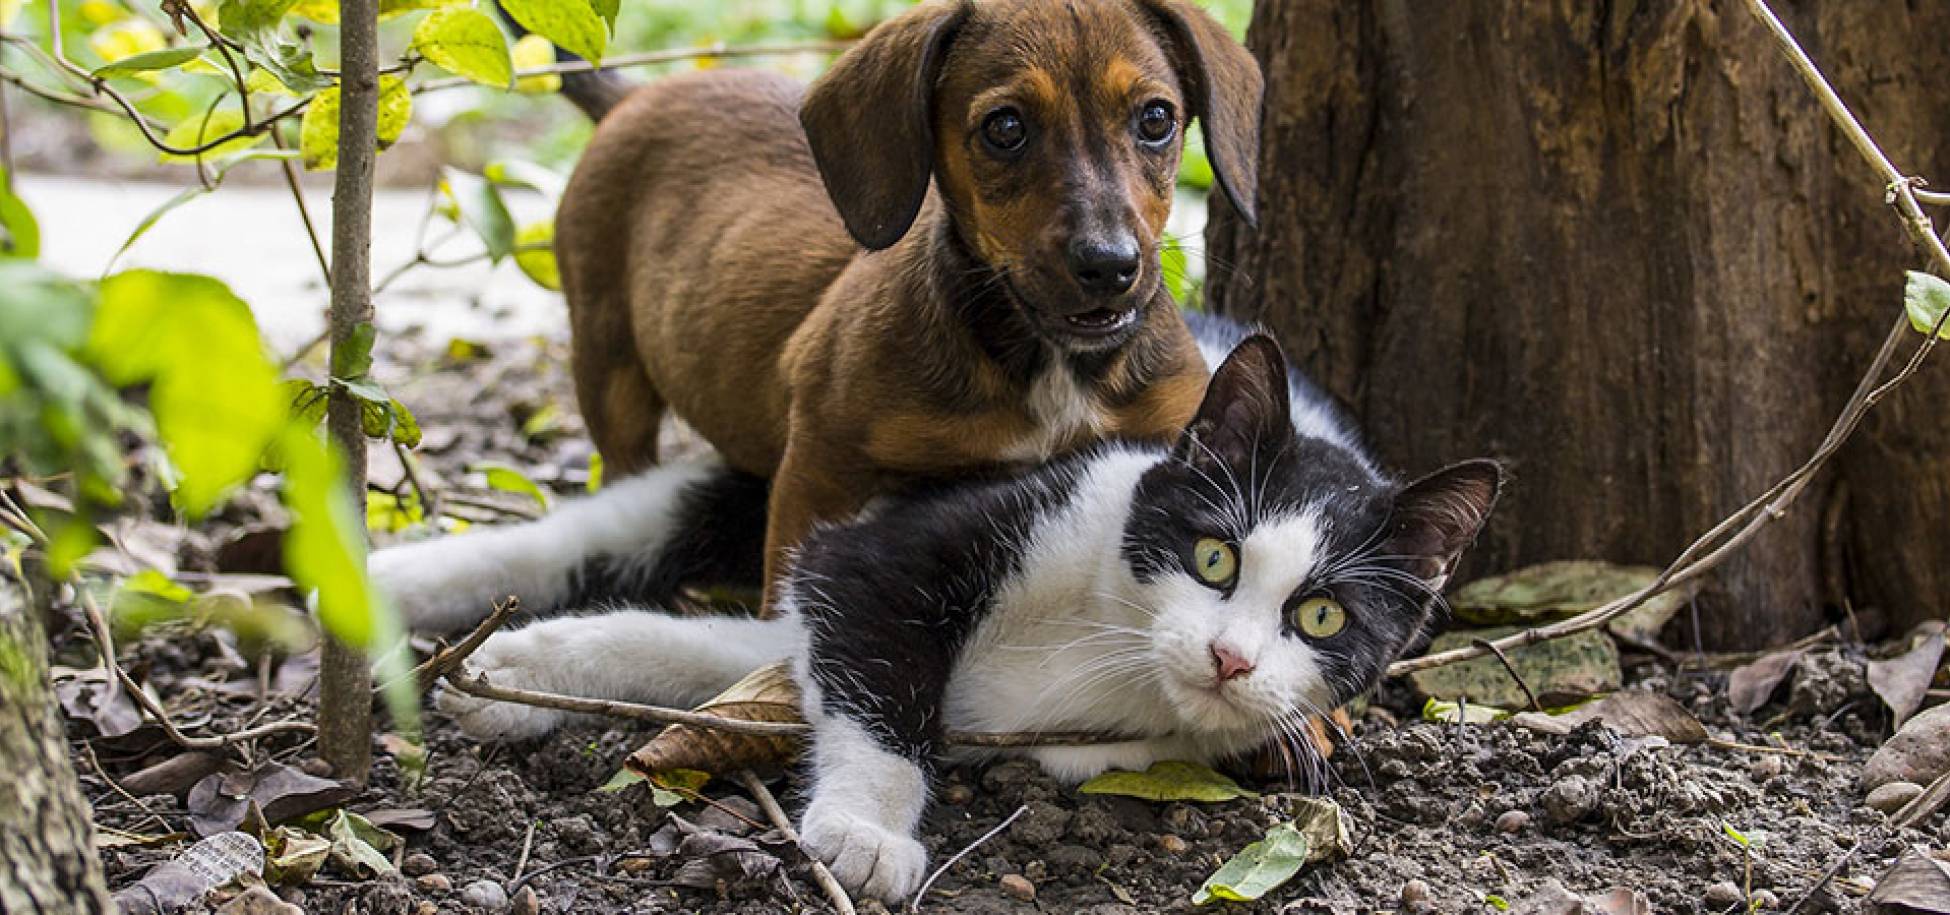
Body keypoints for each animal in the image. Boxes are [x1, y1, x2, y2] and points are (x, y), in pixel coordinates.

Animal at [366, 319, 1497, 897]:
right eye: (1214, 555)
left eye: (1322, 619)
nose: (1229, 658)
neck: (1113, 640)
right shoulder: (899, 545)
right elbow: (878, 675)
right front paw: (868, 830)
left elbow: (728, 654)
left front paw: (522, 673)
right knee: (602, 529)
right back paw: (384, 587)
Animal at [557, 0, 1271, 596]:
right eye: (1005, 127)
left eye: (1156, 119)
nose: (1110, 266)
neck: (1048, 365)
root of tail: (634, 96)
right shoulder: (820, 467)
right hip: (608, 364)